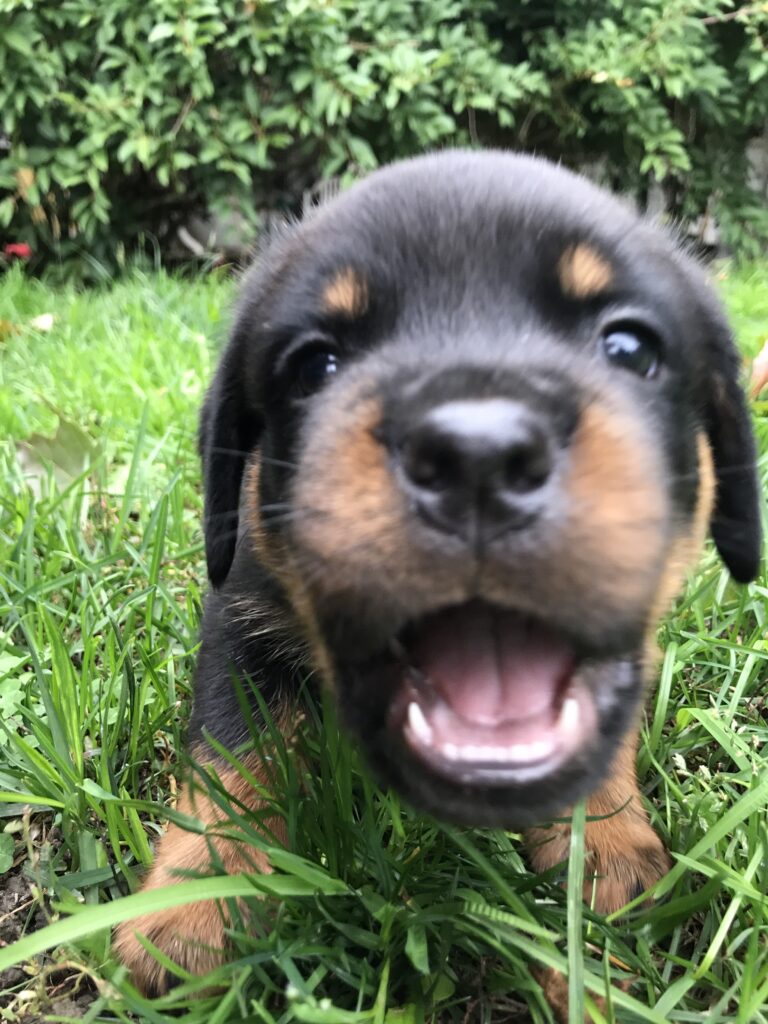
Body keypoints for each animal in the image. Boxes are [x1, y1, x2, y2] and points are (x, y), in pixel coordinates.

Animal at [115, 150, 761, 1005]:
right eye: (317, 365)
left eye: (627, 348)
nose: (477, 455)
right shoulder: (240, 614)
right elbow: (231, 757)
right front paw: (196, 901)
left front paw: (607, 843)